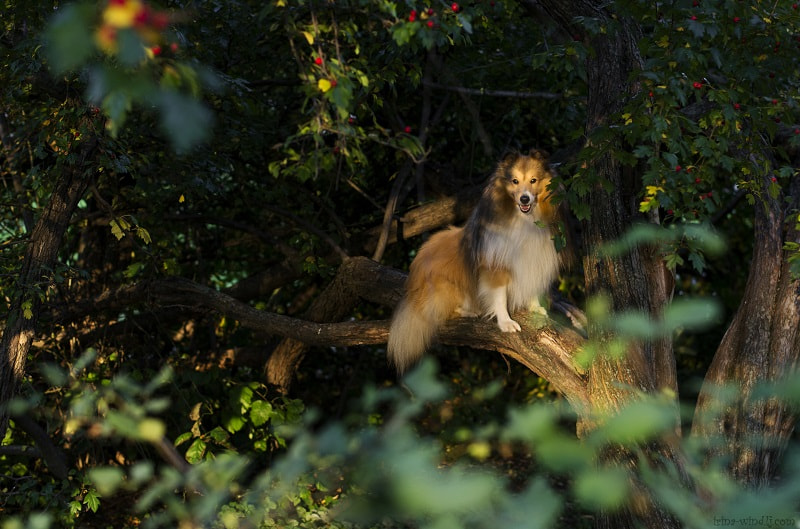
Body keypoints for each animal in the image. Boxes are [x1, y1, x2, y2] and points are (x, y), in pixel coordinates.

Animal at [388, 148, 564, 372]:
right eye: (514, 181)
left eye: (533, 180)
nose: (525, 199)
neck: (523, 219)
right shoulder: (495, 263)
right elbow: (499, 296)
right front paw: (506, 323)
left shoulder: (534, 257)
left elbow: (531, 283)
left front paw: (535, 308)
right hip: (443, 285)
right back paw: (469, 311)